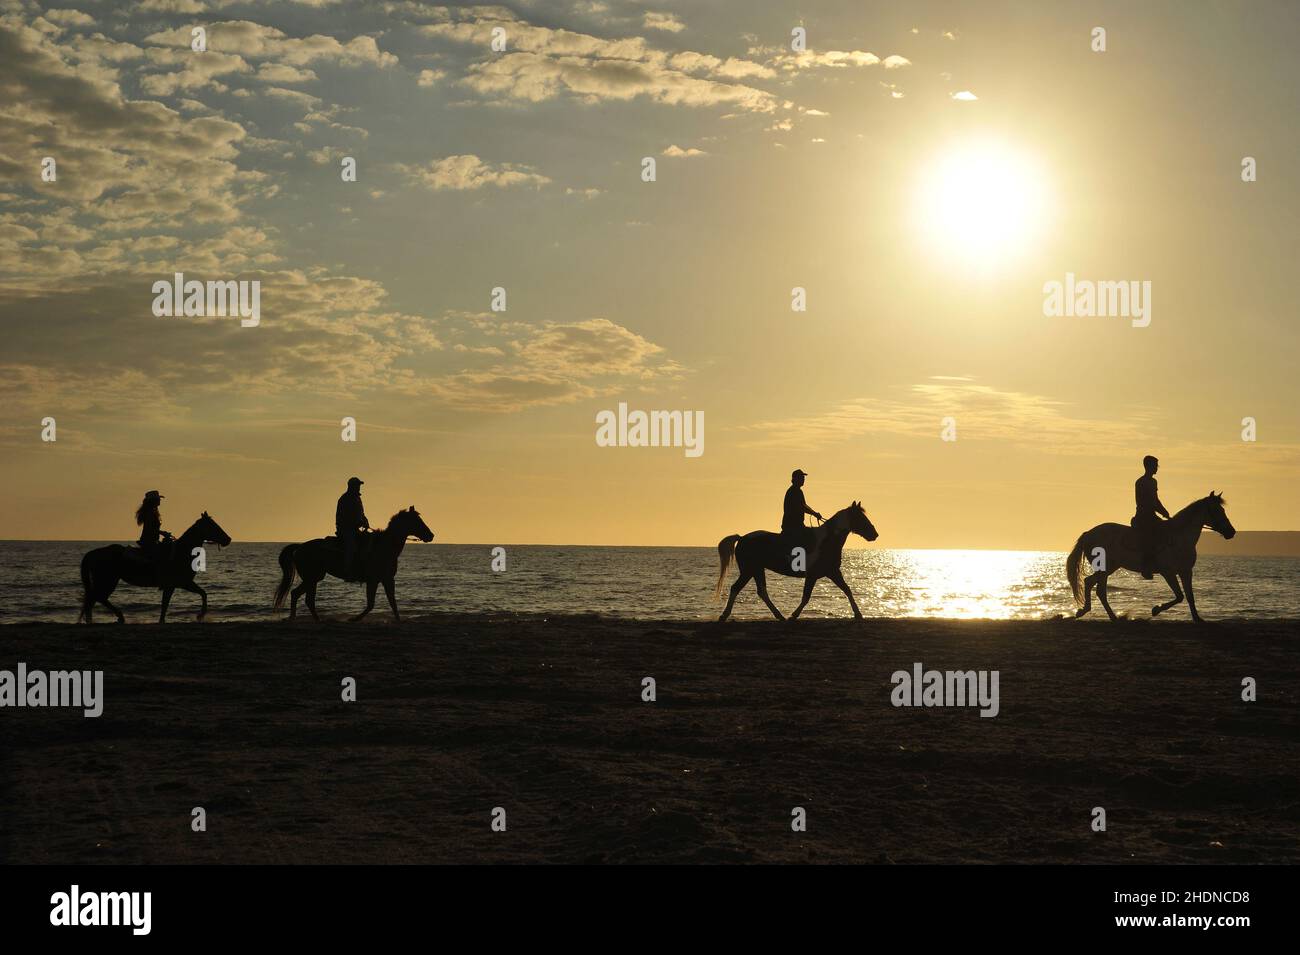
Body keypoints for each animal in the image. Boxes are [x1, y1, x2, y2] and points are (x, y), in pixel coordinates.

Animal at [77, 511, 232, 623]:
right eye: (212, 525)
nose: (228, 539)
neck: (182, 551)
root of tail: (94, 552)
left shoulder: (179, 584)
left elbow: (198, 594)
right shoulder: (181, 583)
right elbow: (172, 602)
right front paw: (200, 616)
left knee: (93, 599)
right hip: (108, 580)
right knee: (96, 598)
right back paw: (118, 617)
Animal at [271, 504, 434, 623]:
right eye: (417, 521)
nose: (431, 535)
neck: (383, 546)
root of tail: (300, 547)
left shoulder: (387, 579)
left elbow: (392, 601)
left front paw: (399, 620)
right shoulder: (373, 580)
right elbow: (371, 604)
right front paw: (354, 618)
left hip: (313, 579)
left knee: (300, 596)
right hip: (312, 578)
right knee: (304, 597)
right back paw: (308, 619)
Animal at [717, 504, 878, 623]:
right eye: (860, 517)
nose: (875, 534)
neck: (827, 540)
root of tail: (742, 538)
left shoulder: (833, 572)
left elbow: (847, 589)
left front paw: (858, 614)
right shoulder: (813, 575)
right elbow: (806, 596)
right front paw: (794, 615)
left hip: (756, 570)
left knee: (761, 591)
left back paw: (779, 615)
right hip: (749, 569)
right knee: (737, 588)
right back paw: (724, 615)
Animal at [1066, 488, 1237, 623]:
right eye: (1217, 511)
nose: (1231, 532)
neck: (1179, 538)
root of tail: (1088, 534)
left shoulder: (1186, 571)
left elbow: (1189, 596)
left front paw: (1197, 618)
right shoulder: (1168, 572)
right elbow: (1179, 596)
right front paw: (1156, 609)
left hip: (1109, 568)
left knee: (1092, 584)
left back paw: (1090, 612)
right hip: (1105, 568)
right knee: (1097, 588)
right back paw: (1108, 616)